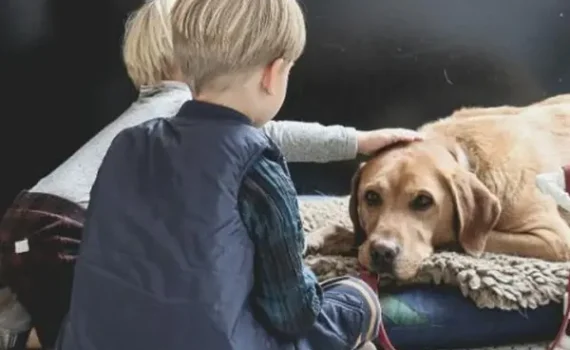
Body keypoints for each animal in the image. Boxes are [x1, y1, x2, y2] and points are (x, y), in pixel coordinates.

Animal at [306, 93, 570, 282]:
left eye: (424, 201)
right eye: (371, 197)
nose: (382, 252)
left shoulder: (555, 238)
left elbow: (461, 237)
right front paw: (328, 236)